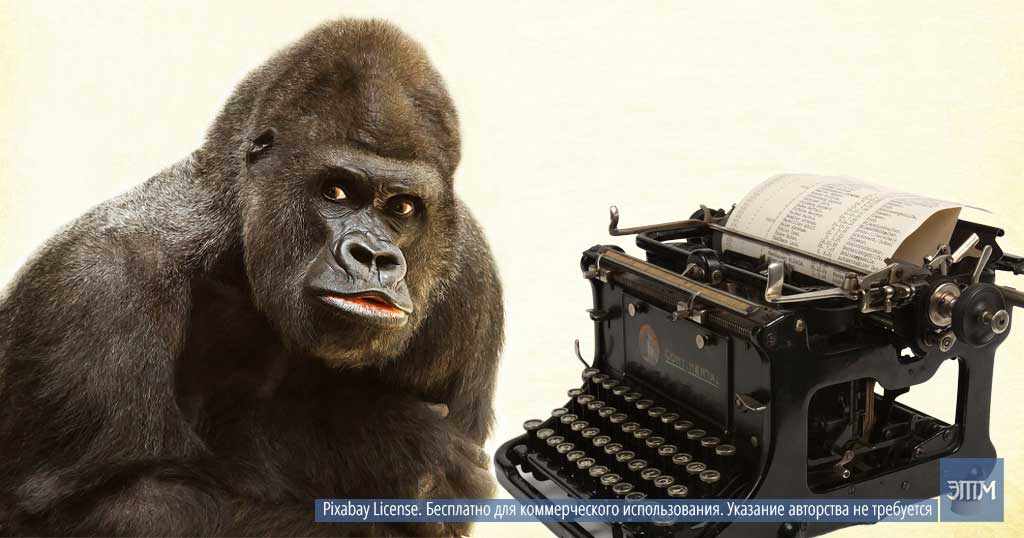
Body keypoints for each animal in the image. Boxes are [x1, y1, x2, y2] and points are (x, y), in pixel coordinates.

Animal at [0, 18, 503, 537]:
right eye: (336, 192)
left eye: (402, 207)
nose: (374, 257)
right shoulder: (97, 284)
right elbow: (90, 509)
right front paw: (374, 444)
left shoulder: (471, 283)